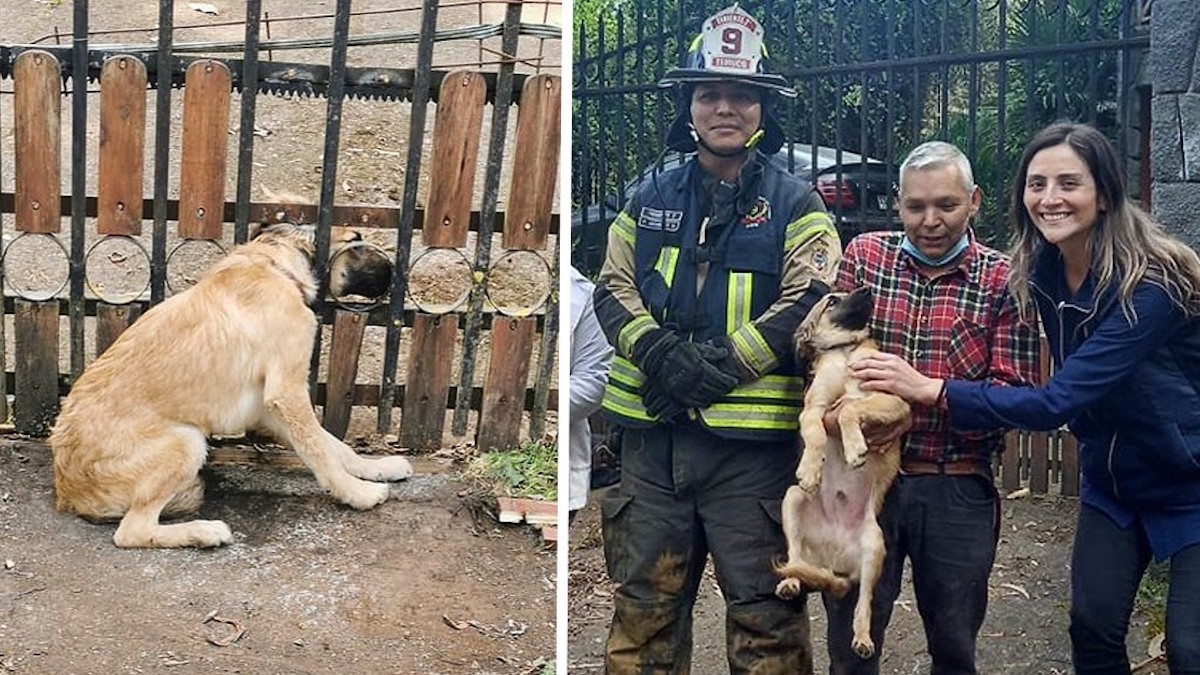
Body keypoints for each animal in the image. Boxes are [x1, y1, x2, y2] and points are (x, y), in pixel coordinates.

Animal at [50, 220, 412, 547]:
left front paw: (376, 467)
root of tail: (67, 490)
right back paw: (203, 532)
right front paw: (358, 493)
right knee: (131, 532)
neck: (273, 265)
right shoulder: (288, 393)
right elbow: (321, 451)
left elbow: (335, 445)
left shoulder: (272, 410)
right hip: (186, 442)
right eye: (357, 239)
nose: (398, 274)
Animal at [777, 288, 907, 658]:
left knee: (863, 603)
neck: (846, 352)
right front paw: (811, 468)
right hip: (791, 501)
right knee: (793, 555)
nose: (866, 290)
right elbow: (817, 430)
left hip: (874, 545)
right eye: (832, 300)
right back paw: (790, 581)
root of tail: (833, 562)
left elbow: (851, 407)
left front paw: (854, 449)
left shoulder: (894, 401)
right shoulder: (814, 406)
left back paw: (863, 639)